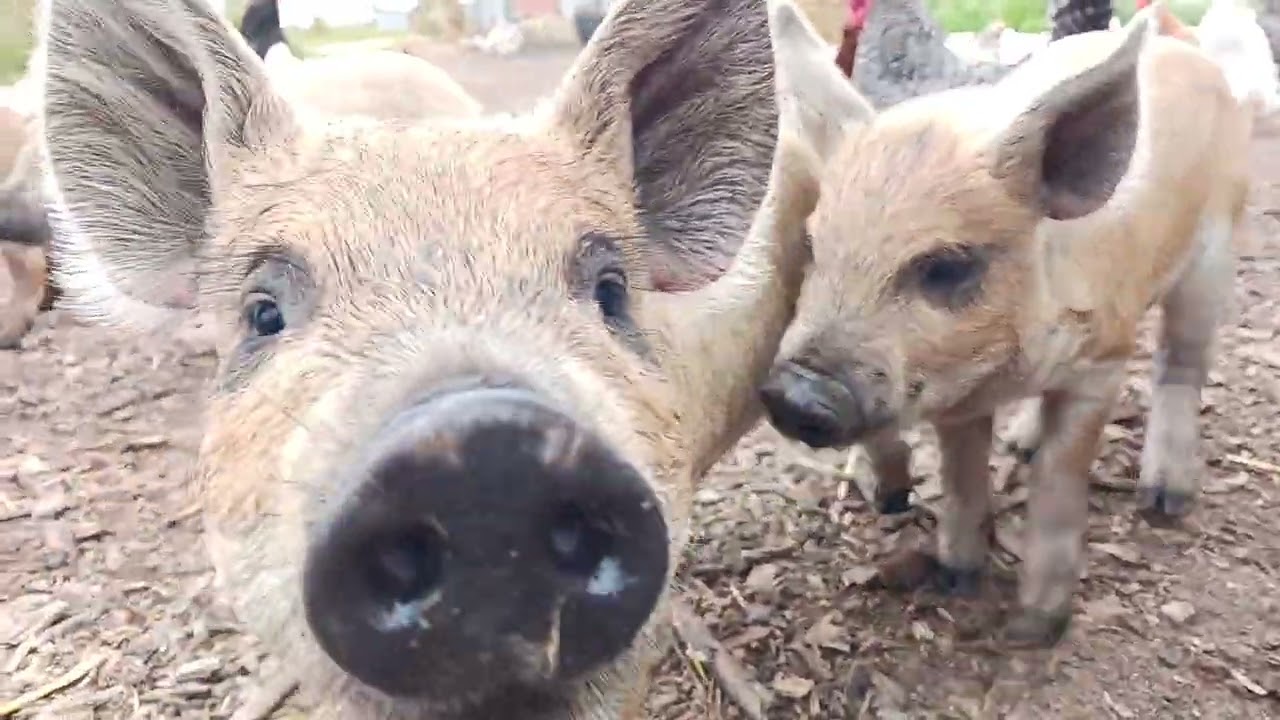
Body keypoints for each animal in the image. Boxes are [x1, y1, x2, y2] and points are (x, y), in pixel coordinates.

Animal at [759, 2, 1250, 648]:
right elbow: (962, 474)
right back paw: (1021, 443)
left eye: (947, 266)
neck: (999, 372)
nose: (795, 391)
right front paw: (956, 577)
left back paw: (1164, 500)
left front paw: (1034, 629)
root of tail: (1187, 51)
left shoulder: (1102, 363)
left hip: (1214, 252)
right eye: (813, 244)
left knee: (1181, 365)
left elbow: (1058, 486)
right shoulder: (953, 398)